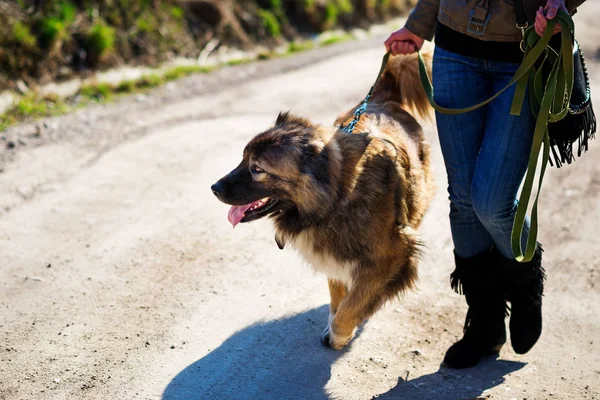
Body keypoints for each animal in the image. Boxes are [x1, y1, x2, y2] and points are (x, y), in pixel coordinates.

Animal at [213, 49, 434, 350]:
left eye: (257, 169)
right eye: (243, 159)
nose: (214, 188)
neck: (337, 199)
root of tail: (380, 99)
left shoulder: (393, 254)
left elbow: (352, 305)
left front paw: (341, 332)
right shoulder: (333, 255)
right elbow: (338, 297)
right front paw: (336, 323)